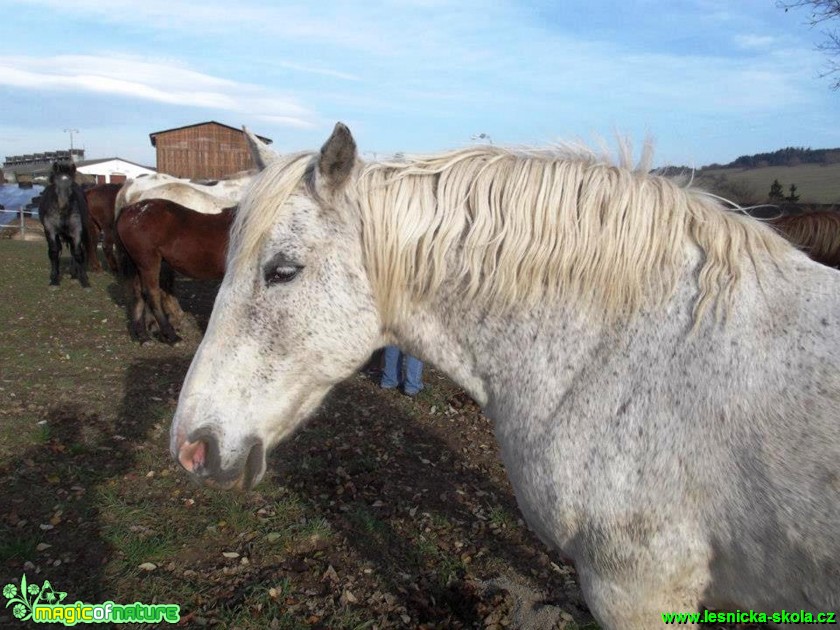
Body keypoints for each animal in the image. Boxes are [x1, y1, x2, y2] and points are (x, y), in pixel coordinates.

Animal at [115, 199, 233, 344]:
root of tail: (129, 209)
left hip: (137, 264)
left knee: (138, 293)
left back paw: (142, 335)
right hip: (148, 262)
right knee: (152, 294)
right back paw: (171, 335)